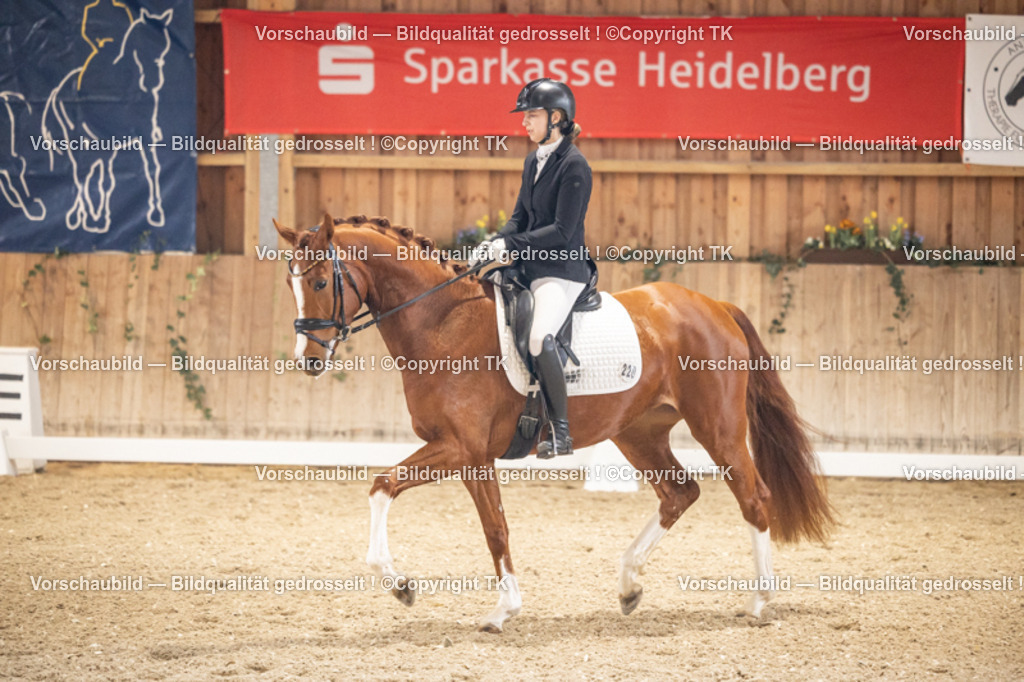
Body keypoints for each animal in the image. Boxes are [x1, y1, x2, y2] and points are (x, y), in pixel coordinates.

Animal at [273, 213, 835, 633]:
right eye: (290, 283)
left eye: (320, 280)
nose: (308, 360)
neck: (442, 323)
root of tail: (713, 304)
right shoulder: (467, 455)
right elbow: (483, 525)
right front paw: (489, 605)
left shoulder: (462, 449)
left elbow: (395, 490)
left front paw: (413, 589)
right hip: (639, 432)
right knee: (680, 493)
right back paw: (629, 586)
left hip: (717, 428)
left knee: (753, 498)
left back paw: (759, 602)